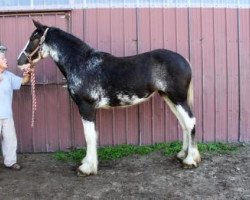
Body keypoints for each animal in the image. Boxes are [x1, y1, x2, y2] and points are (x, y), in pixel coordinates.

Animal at [17, 20, 201, 176]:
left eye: (34, 38)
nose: (20, 61)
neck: (82, 63)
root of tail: (184, 60)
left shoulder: (86, 107)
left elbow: (90, 136)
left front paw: (87, 168)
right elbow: (92, 135)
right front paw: (87, 162)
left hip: (178, 99)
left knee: (190, 122)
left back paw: (190, 160)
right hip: (169, 98)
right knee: (184, 124)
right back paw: (182, 154)